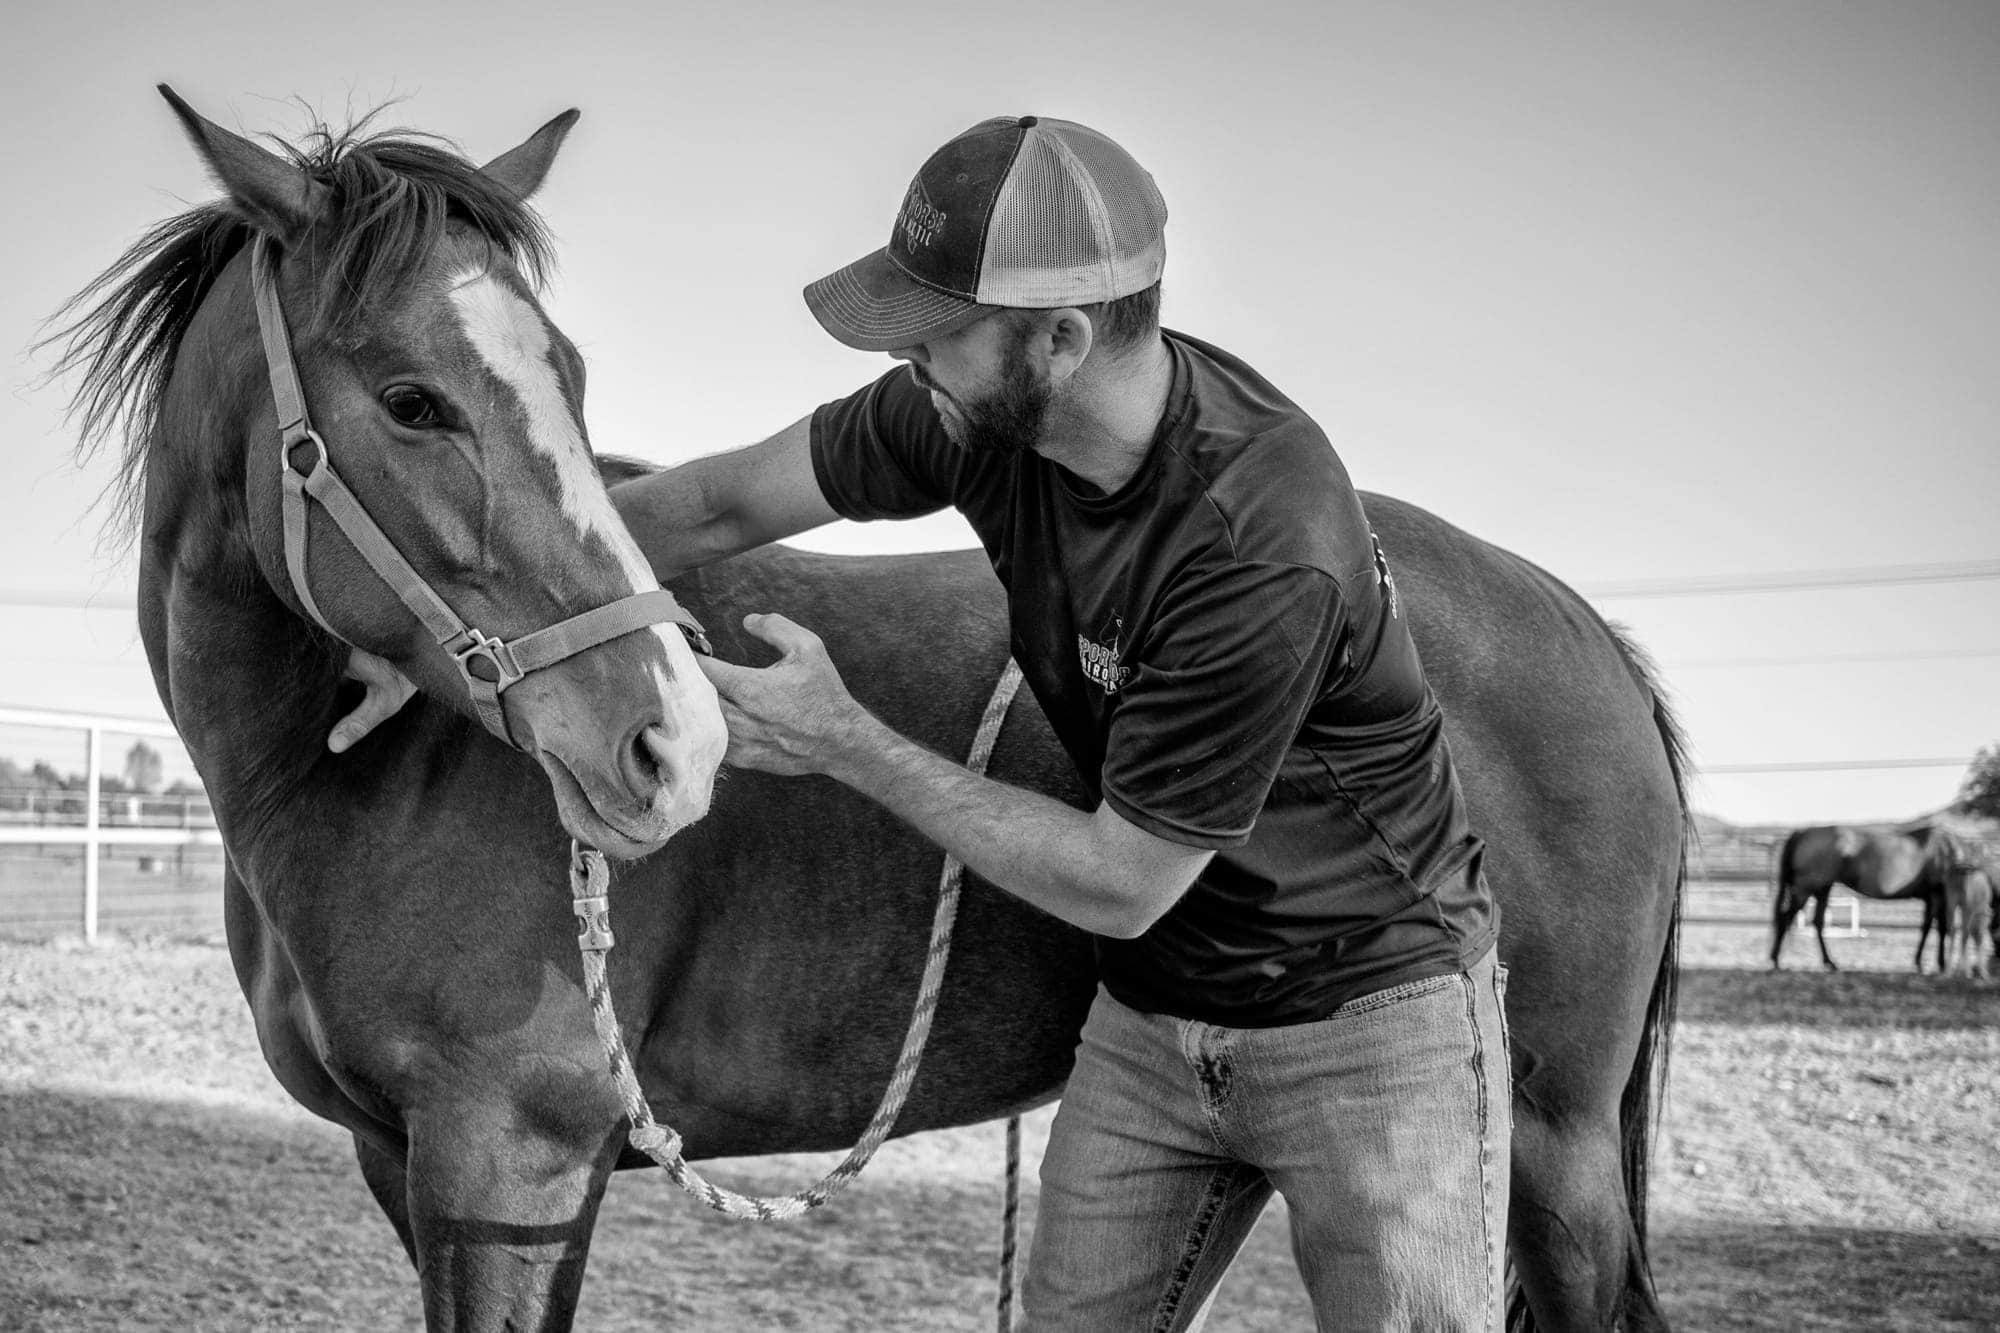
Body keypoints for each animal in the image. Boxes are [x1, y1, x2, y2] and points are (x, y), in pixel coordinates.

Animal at [54, 93, 1688, 1328]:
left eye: (564, 376)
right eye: (410, 400)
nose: (671, 746)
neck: (369, 779)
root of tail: (1581, 629)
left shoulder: (506, 1162)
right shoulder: (406, 1168)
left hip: (1542, 1154)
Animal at [1768, 820, 1952, 964]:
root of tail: (1802, 832)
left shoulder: (1933, 898)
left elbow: (1932, 926)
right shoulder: (1937, 896)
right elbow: (1936, 927)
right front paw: (1935, 962)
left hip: (1822, 888)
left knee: (1816, 922)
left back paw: (1828, 961)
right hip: (1805, 889)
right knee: (1785, 918)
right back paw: (1776, 959)